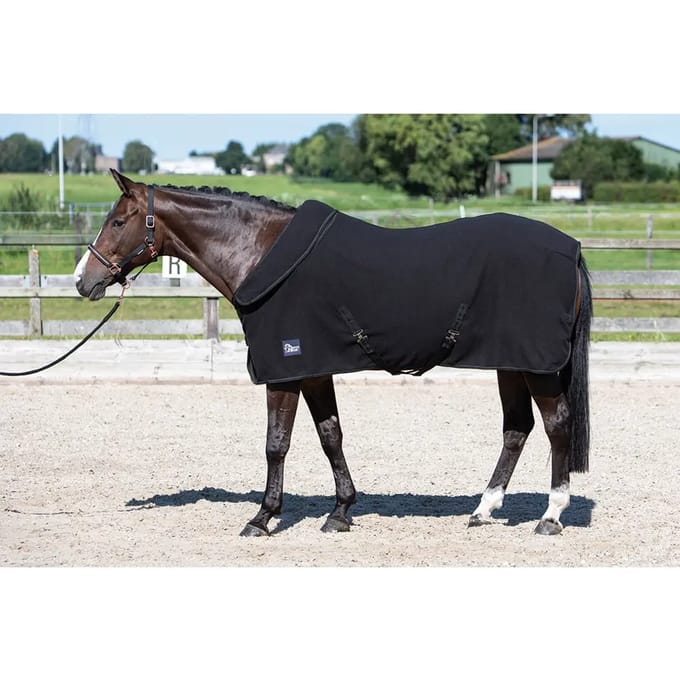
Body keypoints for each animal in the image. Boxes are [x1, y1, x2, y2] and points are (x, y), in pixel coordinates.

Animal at [75, 169, 592, 537]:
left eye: (117, 221)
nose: (83, 280)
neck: (260, 253)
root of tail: (571, 248)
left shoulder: (285, 371)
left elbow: (276, 443)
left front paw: (262, 517)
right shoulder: (315, 369)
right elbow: (330, 436)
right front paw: (341, 512)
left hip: (536, 367)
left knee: (556, 424)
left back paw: (551, 515)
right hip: (512, 362)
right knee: (517, 429)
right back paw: (484, 509)